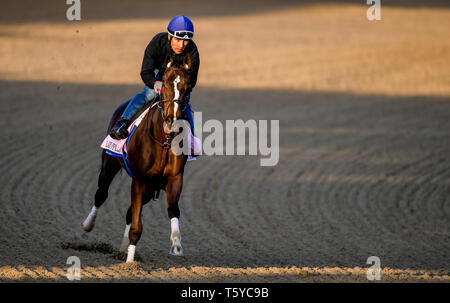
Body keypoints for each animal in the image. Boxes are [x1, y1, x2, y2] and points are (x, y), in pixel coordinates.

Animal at [82, 55, 192, 264]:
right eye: (165, 84)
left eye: (186, 87)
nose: (172, 119)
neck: (164, 142)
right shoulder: (140, 180)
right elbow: (136, 226)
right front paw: (130, 263)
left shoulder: (174, 178)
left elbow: (173, 209)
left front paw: (176, 243)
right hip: (110, 165)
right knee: (101, 194)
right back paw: (87, 225)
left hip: (151, 188)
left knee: (127, 211)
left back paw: (122, 249)